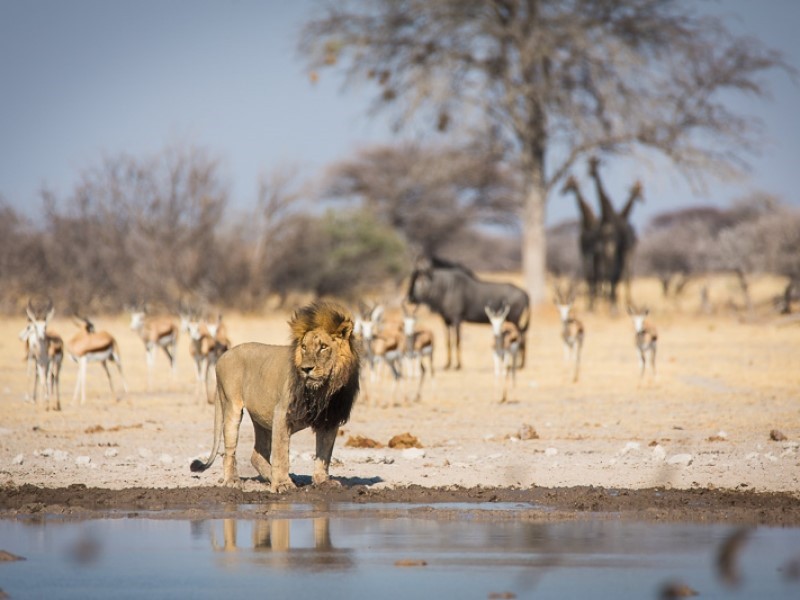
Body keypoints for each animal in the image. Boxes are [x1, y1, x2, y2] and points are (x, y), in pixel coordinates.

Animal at [191, 300, 360, 492]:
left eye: (323, 347)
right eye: (304, 347)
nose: (306, 369)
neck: (323, 390)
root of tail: (223, 355)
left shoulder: (330, 419)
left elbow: (324, 454)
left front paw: (322, 481)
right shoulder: (282, 413)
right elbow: (281, 453)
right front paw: (283, 484)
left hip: (262, 418)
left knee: (257, 454)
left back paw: (274, 477)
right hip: (232, 406)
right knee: (229, 450)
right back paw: (232, 480)